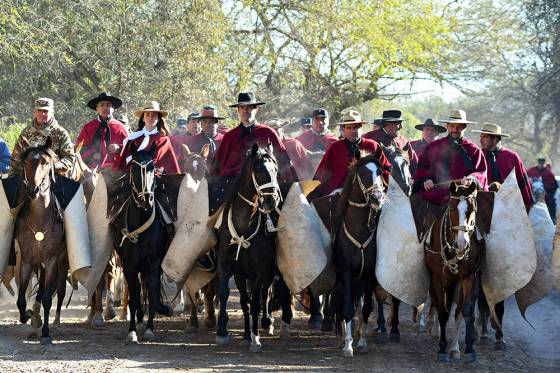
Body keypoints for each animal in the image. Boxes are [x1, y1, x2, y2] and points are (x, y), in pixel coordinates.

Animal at [15, 136, 68, 342]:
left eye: (46, 162)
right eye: (26, 162)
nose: (34, 190)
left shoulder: (52, 260)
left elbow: (47, 298)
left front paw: (45, 332)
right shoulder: (27, 260)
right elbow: (21, 300)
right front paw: (29, 316)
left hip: (61, 263)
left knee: (59, 292)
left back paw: (56, 323)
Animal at [112, 142, 174, 342]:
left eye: (153, 167)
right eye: (133, 168)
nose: (146, 199)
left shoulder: (153, 264)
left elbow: (153, 294)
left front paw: (150, 329)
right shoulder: (129, 265)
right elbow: (133, 298)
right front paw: (132, 330)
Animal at [214, 142, 290, 352]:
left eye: (275, 170)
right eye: (259, 169)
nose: (272, 200)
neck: (243, 225)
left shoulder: (261, 270)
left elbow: (256, 301)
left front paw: (256, 338)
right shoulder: (229, 267)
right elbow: (233, 298)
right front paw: (224, 332)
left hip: (268, 271)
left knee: (265, 293)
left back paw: (267, 322)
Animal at [332, 151, 390, 358]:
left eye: (379, 172)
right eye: (362, 173)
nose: (376, 198)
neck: (359, 232)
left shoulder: (369, 274)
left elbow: (365, 308)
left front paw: (362, 341)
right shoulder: (346, 273)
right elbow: (348, 307)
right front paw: (348, 345)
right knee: (341, 303)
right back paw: (343, 336)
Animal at [424, 180, 482, 360]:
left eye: (472, 210)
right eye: (451, 209)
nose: (462, 245)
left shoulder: (468, 278)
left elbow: (465, 311)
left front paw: (467, 349)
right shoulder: (439, 277)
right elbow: (443, 311)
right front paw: (442, 349)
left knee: (456, 310)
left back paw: (455, 347)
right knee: (440, 304)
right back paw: (435, 329)